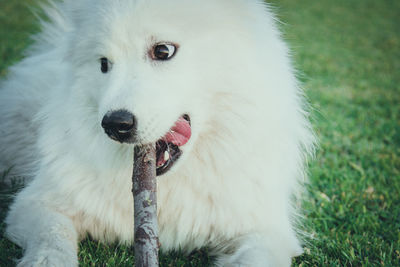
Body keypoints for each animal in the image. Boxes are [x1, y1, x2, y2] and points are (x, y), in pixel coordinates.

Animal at [0, 0, 314, 266]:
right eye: (103, 64)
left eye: (163, 51)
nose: (115, 124)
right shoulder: (36, 204)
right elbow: (52, 240)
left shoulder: (264, 231)